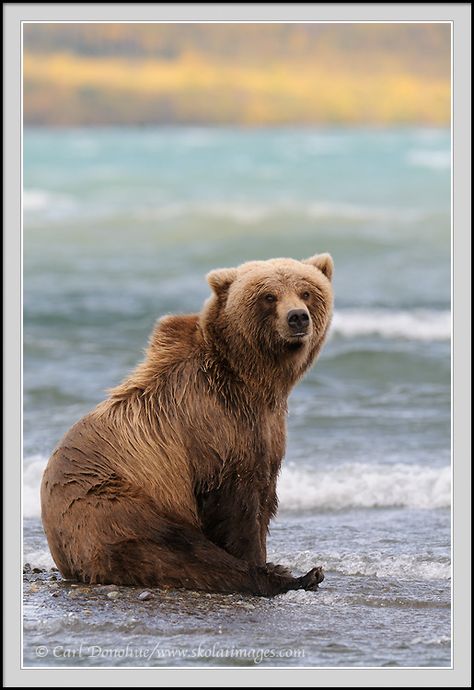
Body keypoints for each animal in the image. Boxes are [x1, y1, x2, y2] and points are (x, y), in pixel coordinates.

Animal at [40, 251, 334, 592]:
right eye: (269, 296)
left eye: (306, 292)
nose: (297, 317)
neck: (251, 381)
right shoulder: (215, 429)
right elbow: (238, 507)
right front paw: (260, 559)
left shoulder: (265, 428)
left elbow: (264, 496)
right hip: (114, 507)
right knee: (179, 551)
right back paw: (295, 575)